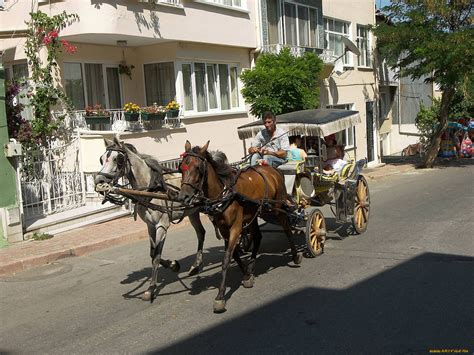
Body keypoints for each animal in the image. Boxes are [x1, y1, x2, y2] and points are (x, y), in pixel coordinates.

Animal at [95, 138, 225, 302]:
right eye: (101, 159)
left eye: (117, 159)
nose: (99, 181)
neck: (151, 188)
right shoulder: (150, 226)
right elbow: (152, 253)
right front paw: (173, 264)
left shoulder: (161, 225)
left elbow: (156, 255)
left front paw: (151, 288)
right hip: (192, 212)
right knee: (201, 233)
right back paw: (196, 265)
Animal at [178, 140, 304, 312]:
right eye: (181, 167)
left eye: (198, 168)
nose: (183, 197)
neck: (224, 193)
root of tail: (273, 169)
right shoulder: (224, 230)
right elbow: (235, 254)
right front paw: (247, 275)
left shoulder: (236, 227)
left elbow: (226, 259)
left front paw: (220, 296)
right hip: (255, 212)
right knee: (257, 236)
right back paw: (251, 266)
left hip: (278, 207)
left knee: (287, 230)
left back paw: (296, 256)